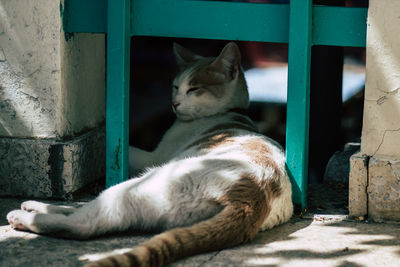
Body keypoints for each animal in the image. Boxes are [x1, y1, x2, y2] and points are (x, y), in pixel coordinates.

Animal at [7, 42, 294, 267]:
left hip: (143, 182)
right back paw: (35, 207)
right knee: (84, 209)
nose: (174, 103)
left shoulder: (151, 157)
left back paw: (25, 217)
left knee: (86, 223)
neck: (228, 113)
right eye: (175, 86)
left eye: (194, 89)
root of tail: (251, 198)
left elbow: (128, 149)